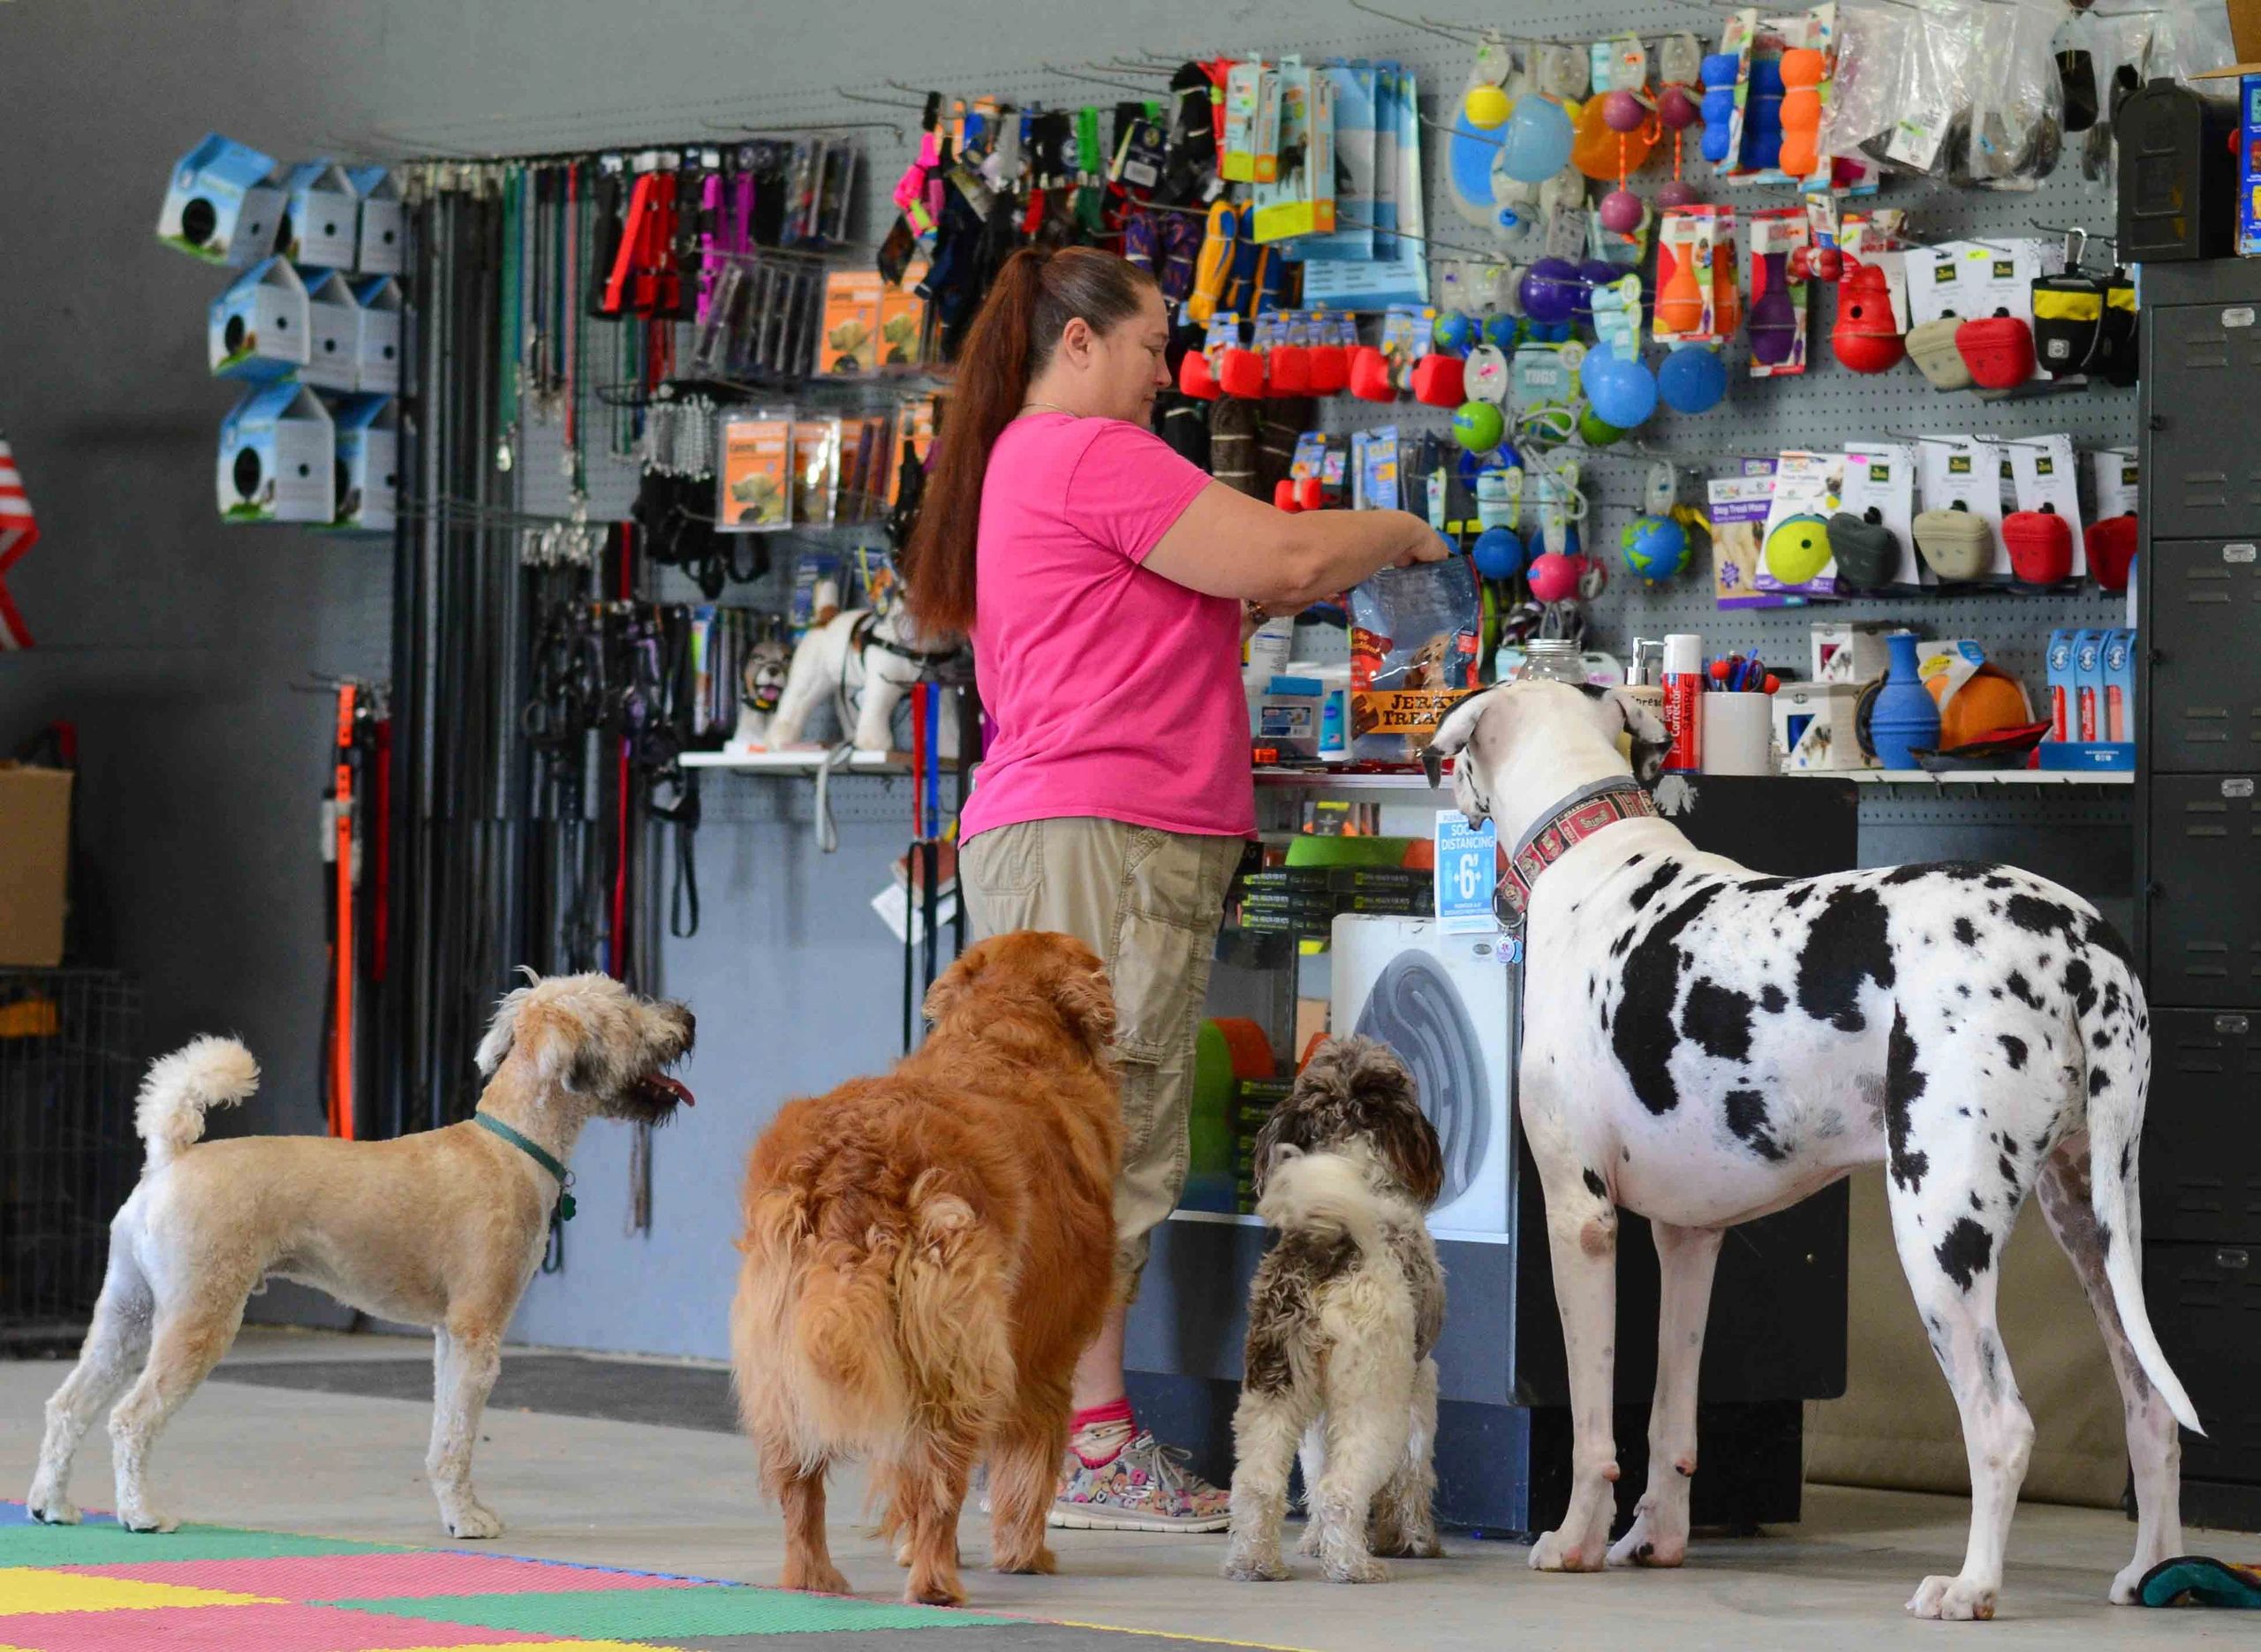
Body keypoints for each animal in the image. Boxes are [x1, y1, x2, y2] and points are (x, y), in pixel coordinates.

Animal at [26, 976, 692, 1545]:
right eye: (628, 1009)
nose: (686, 1018)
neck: (511, 1146)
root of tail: (169, 1158)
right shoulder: (477, 1331)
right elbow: (458, 1439)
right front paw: (468, 1519)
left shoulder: (449, 1336)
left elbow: (442, 1432)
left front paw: (457, 1511)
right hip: (198, 1318)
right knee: (130, 1417)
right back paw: (141, 1514)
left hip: (127, 1313)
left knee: (68, 1406)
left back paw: (50, 1505)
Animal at [732, 935, 1121, 1609]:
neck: (1007, 1041)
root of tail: (852, 1159)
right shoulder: (1046, 1355)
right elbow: (1030, 1464)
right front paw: (1025, 1555)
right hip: (956, 1354)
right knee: (940, 1473)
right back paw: (936, 1583)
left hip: (782, 1361)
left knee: (801, 1481)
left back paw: (814, 1578)